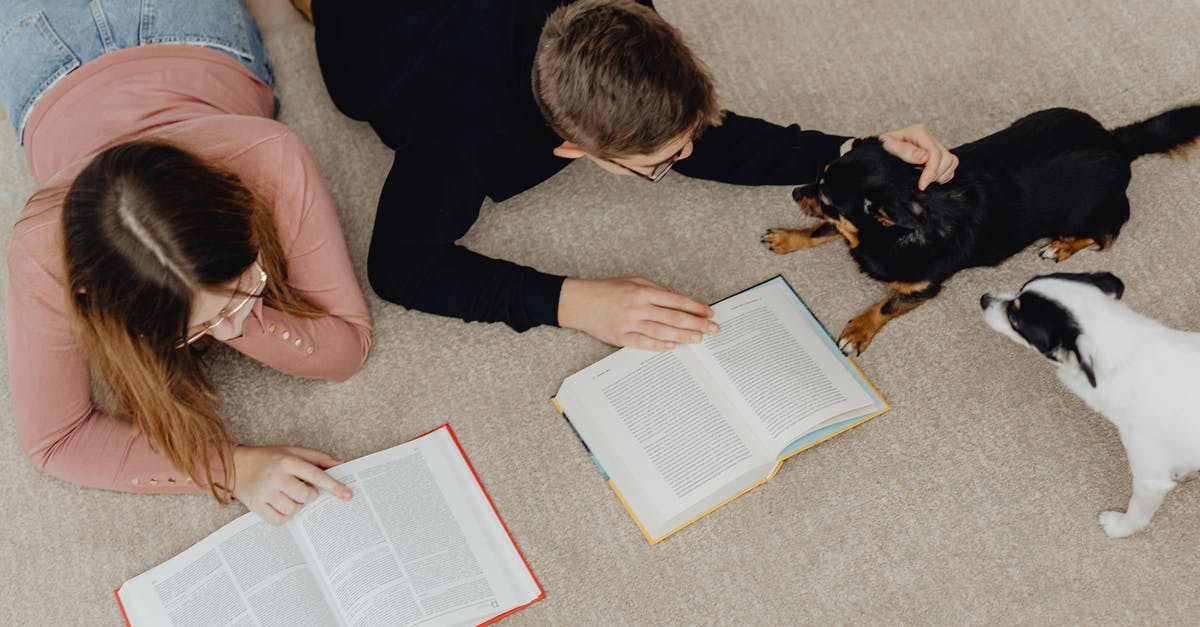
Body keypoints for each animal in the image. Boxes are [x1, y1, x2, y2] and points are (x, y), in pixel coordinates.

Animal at [763, 105, 1195, 353]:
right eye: (820, 176)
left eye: (827, 198)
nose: (795, 192)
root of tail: (1116, 143)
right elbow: (821, 232)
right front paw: (786, 237)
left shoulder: (922, 289)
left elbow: (884, 305)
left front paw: (857, 332)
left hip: (1091, 216)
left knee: (1105, 235)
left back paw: (1061, 246)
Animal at [984, 270, 1200, 533]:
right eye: (1020, 288)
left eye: (1015, 318)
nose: (983, 299)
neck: (1127, 353)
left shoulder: (1150, 479)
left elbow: (1136, 514)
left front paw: (1118, 528)